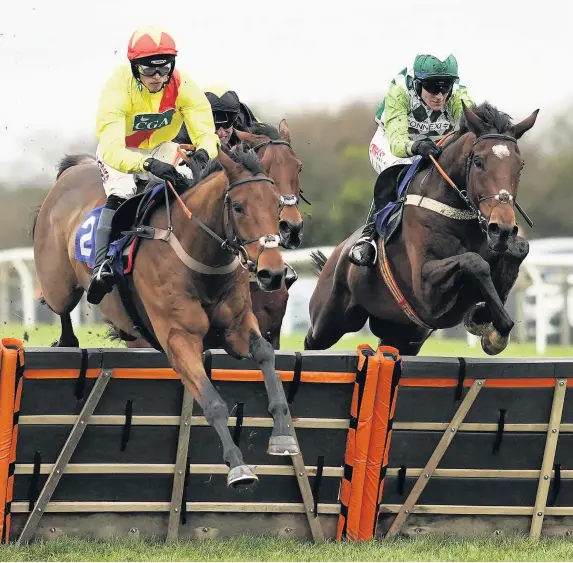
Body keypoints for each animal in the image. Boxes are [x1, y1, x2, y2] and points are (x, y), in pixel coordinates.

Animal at [32, 145, 300, 490]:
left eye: (276, 204)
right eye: (239, 207)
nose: (272, 273)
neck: (199, 255)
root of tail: (73, 170)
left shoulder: (238, 327)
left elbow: (266, 355)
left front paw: (283, 435)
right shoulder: (179, 339)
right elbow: (212, 403)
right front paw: (238, 467)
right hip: (59, 285)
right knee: (61, 308)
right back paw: (66, 337)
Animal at [306, 101, 540, 356]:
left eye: (520, 166)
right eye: (478, 161)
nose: (502, 229)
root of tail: (337, 254)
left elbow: (518, 251)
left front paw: (486, 322)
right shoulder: (426, 290)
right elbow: (474, 262)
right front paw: (490, 328)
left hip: (403, 335)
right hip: (328, 321)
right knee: (311, 340)